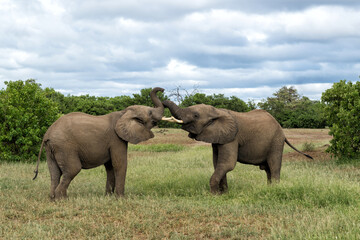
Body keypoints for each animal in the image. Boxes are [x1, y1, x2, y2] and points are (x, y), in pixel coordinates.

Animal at [32, 87, 165, 200]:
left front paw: (108, 197)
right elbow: (119, 164)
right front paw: (121, 199)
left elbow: (110, 167)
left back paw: (53, 198)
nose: (162, 89)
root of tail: (47, 135)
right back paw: (63, 200)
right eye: (150, 113)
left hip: (51, 148)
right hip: (65, 147)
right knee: (72, 169)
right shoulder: (116, 139)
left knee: (55, 172)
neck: (123, 113)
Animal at [162, 100, 314, 194]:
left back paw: (274, 189)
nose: (162, 100)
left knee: (274, 165)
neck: (217, 112)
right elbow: (217, 163)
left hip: (276, 141)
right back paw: (269, 188)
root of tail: (280, 127)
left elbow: (227, 164)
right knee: (268, 169)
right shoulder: (219, 138)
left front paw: (214, 195)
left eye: (195, 115)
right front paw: (224, 194)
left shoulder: (232, 137)